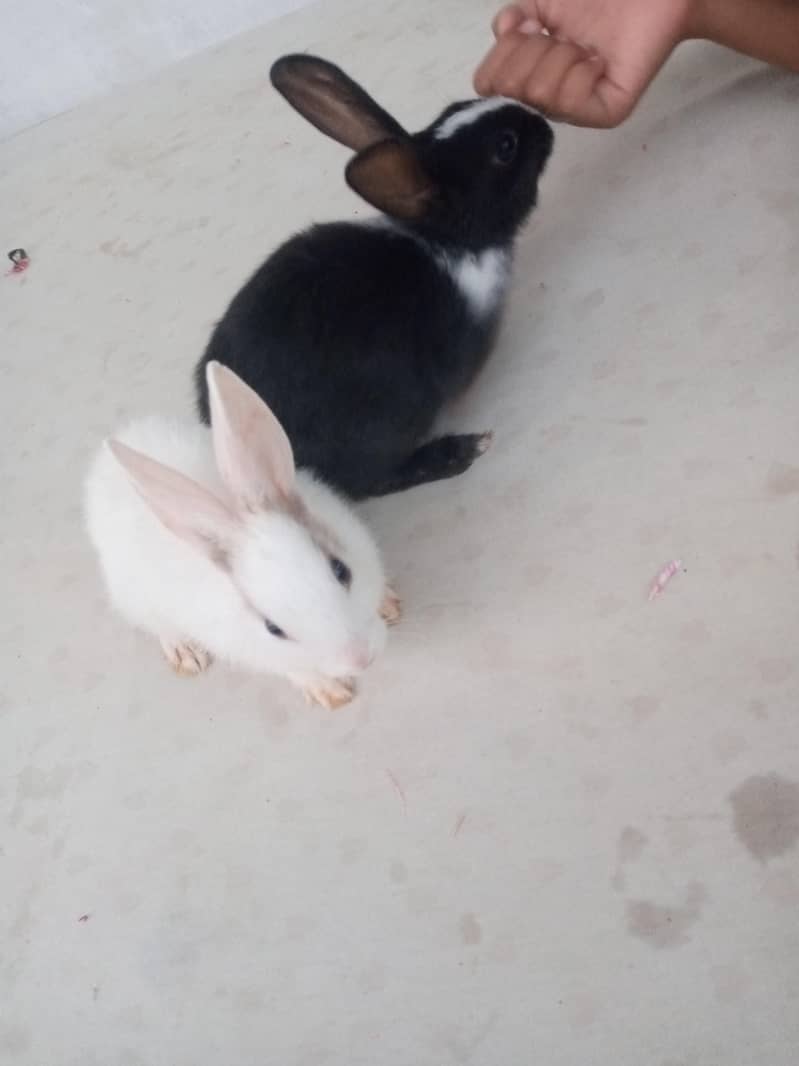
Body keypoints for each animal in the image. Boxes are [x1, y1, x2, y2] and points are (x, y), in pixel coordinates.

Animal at [85, 361, 400, 710]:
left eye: (341, 570)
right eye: (273, 629)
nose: (361, 659)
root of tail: (103, 465)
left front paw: (389, 603)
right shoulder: (256, 651)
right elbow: (297, 670)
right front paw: (331, 694)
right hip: (137, 599)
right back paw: (185, 654)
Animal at [194, 54, 554, 500]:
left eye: (459, 105)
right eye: (506, 147)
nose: (543, 122)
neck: (443, 240)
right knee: (373, 481)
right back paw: (458, 452)